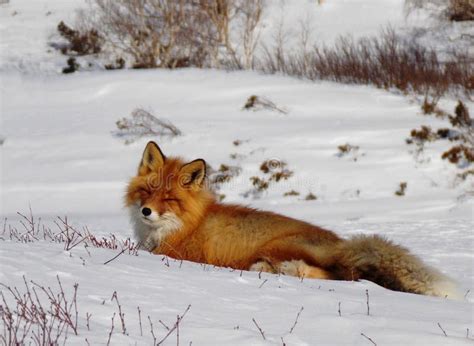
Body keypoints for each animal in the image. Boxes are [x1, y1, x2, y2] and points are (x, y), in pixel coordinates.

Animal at [126, 142, 460, 298]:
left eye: (169, 199)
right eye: (147, 191)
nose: (146, 212)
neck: (187, 224)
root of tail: (341, 243)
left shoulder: (179, 254)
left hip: (278, 247)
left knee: (341, 277)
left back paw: (286, 270)